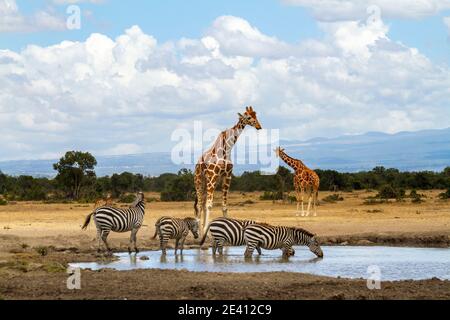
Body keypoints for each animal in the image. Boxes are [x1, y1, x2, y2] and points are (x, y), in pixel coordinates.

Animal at [194, 106, 264, 234]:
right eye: (248, 117)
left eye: (255, 115)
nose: (258, 126)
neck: (227, 149)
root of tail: (197, 164)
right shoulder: (213, 175)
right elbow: (209, 205)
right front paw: (206, 229)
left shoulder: (227, 176)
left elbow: (224, 206)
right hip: (199, 181)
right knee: (200, 205)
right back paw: (200, 232)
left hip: (209, 182)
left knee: (202, 204)